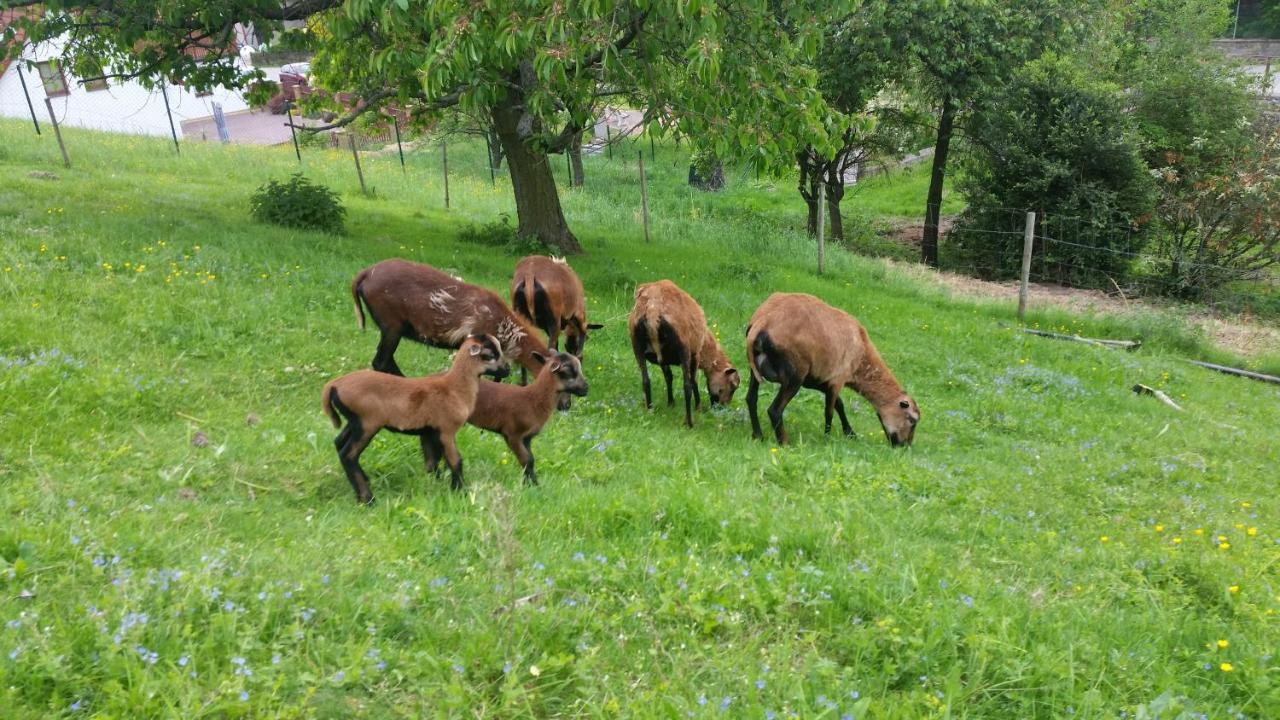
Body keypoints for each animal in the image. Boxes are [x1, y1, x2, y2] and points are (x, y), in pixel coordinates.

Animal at [320, 333, 509, 502]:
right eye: (489, 355)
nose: (507, 370)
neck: (455, 388)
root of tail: (334, 385)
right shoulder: (446, 430)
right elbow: (455, 461)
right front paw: (461, 492)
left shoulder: (429, 432)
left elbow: (432, 463)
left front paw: (435, 485)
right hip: (367, 423)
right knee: (348, 454)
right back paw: (368, 499)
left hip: (354, 422)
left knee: (338, 442)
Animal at [465, 351, 588, 484]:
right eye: (568, 371)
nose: (586, 388)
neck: (532, 400)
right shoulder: (513, 435)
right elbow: (526, 460)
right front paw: (529, 484)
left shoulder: (527, 438)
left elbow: (531, 459)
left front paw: (533, 483)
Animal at [627, 279, 742, 425]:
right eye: (732, 387)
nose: (722, 408)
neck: (706, 344)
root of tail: (653, 309)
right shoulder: (696, 355)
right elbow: (694, 382)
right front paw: (698, 407)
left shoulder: (663, 359)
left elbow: (668, 377)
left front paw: (671, 403)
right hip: (684, 349)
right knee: (686, 386)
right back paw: (689, 422)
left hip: (636, 344)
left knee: (646, 380)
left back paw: (649, 410)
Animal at [742, 289, 921, 443]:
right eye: (913, 420)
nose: (905, 446)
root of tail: (762, 322)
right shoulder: (838, 379)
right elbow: (829, 411)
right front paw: (827, 438)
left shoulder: (819, 380)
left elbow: (839, 405)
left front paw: (850, 433)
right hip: (795, 373)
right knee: (774, 410)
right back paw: (784, 442)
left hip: (758, 369)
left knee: (751, 398)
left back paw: (758, 435)